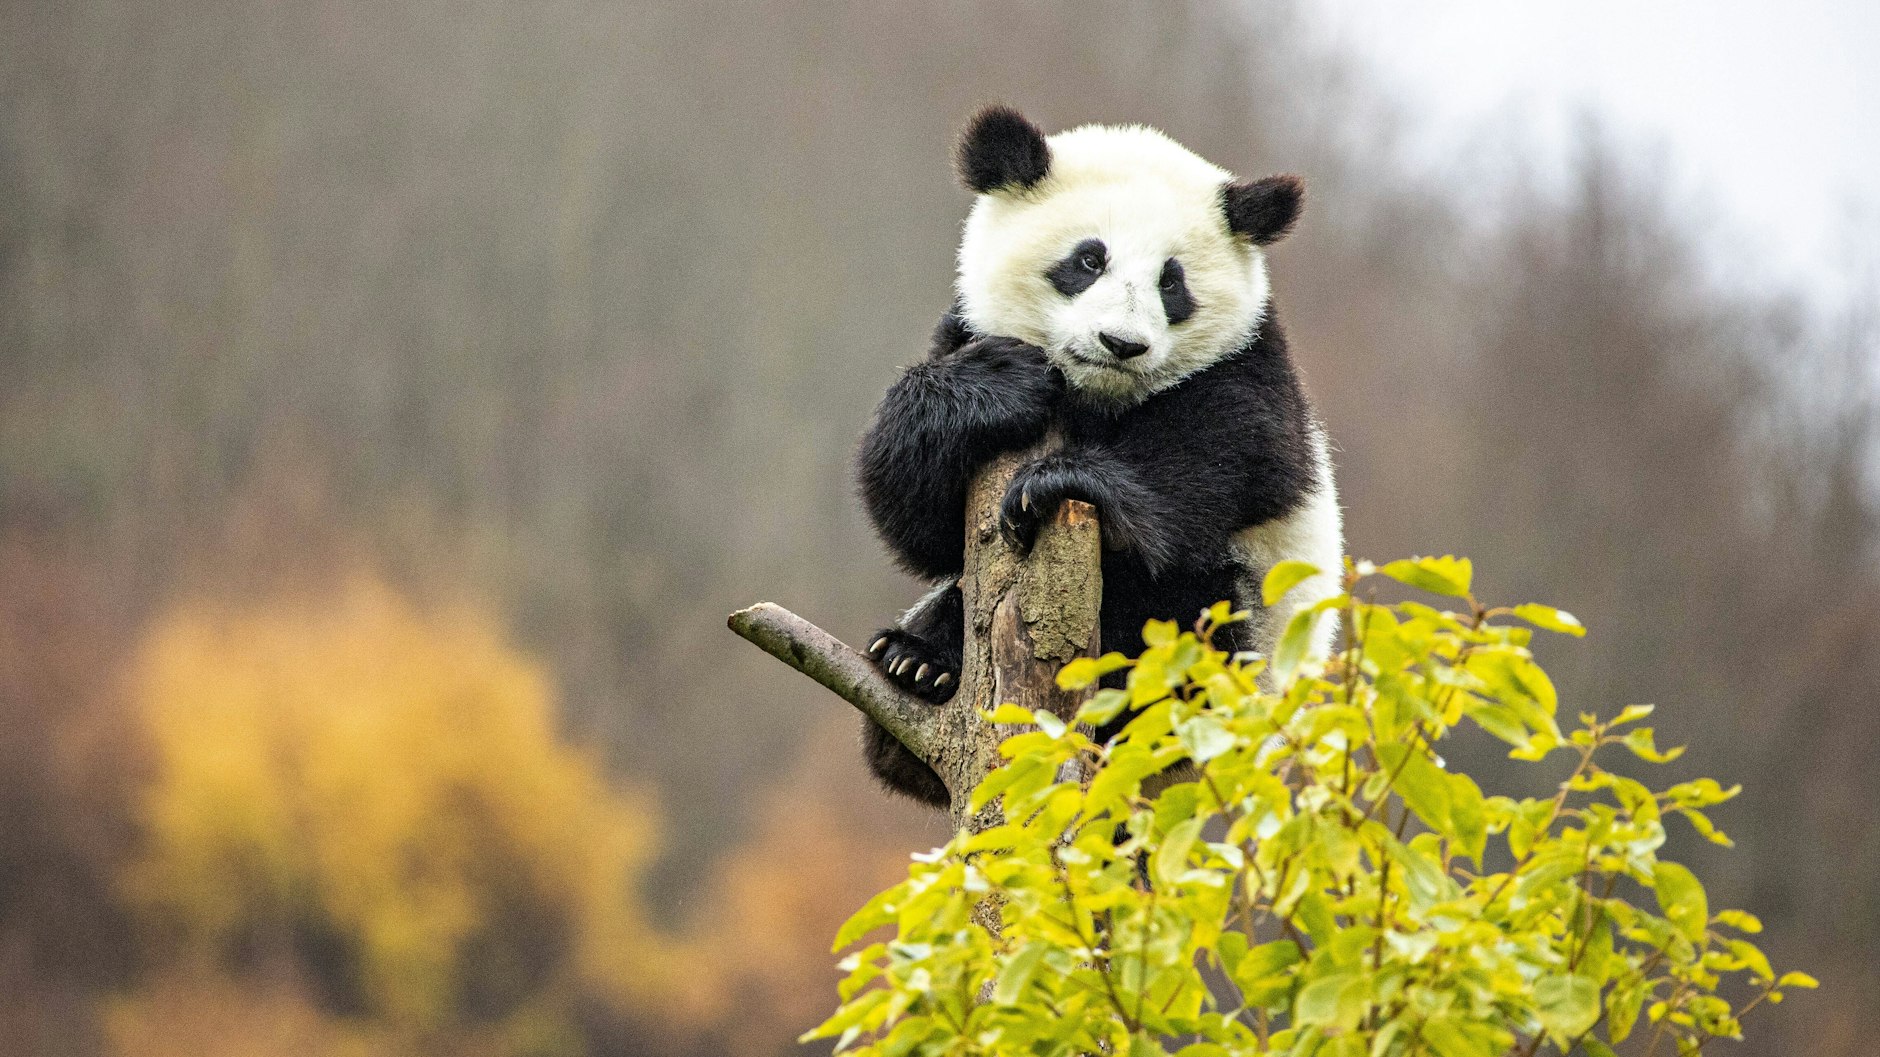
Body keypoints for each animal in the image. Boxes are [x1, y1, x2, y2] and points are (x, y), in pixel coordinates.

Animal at [856, 106, 1342, 806]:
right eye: (1088, 259)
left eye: (1172, 282)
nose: (1122, 343)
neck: (1096, 396)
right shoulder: (962, 328)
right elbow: (922, 525)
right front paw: (998, 385)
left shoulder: (1252, 370)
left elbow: (1223, 453)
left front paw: (1057, 482)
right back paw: (916, 667)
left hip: (1232, 647)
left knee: (1172, 601)